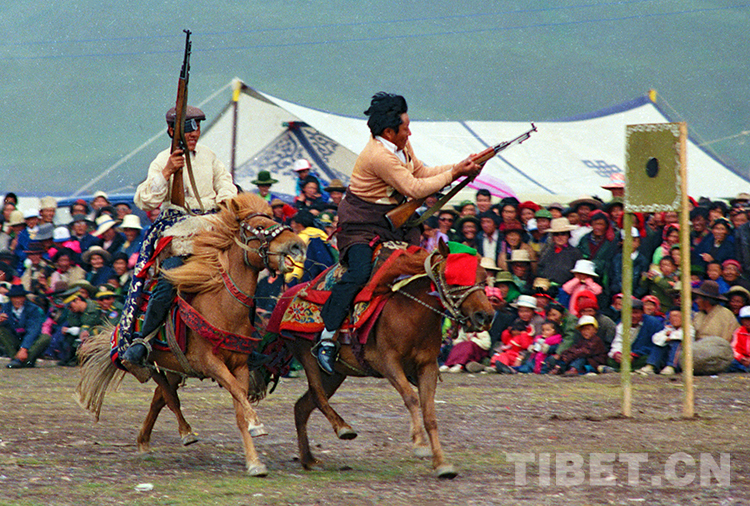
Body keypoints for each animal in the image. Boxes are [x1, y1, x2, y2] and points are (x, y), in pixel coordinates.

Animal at [76, 193, 305, 477]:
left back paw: (147, 441)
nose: (297, 245)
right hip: (150, 362)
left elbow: (239, 406)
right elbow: (237, 396)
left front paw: (254, 461)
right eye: (260, 226)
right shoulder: (209, 362)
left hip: (175, 366)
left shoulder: (239, 366)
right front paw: (256, 425)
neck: (222, 306)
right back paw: (184, 432)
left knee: (159, 398)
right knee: (166, 394)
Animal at [282, 240, 494, 479]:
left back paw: (309, 460)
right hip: (308, 357)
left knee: (302, 406)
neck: (411, 314)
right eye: (453, 279)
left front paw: (442, 464)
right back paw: (343, 429)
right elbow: (411, 398)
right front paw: (420, 444)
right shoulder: (388, 363)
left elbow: (430, 414)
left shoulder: (427, 367)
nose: (485, 316)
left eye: (483, 277)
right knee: (317, 396)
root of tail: (286, 297)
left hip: (334, 374)